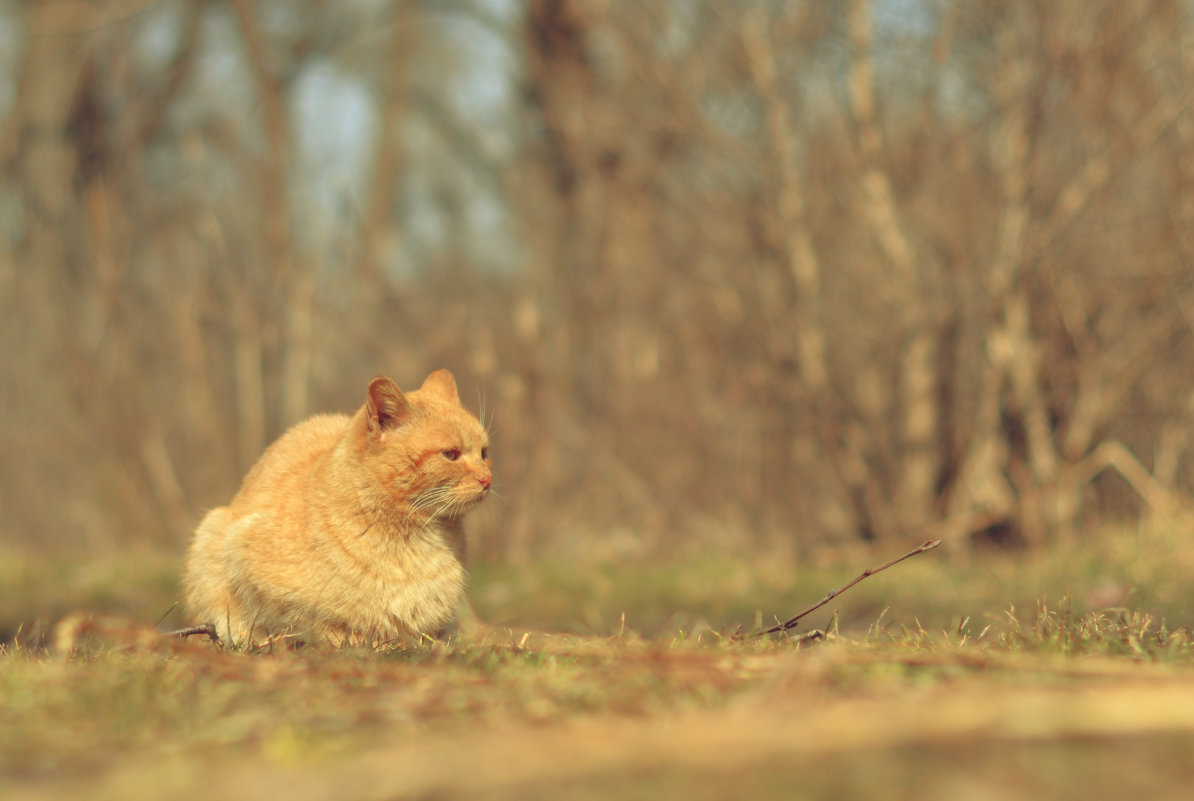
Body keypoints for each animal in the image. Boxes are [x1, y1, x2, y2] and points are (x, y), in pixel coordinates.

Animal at [182, 372, 489, 649]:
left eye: (484, 453)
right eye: (451, 455)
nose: (487, 479)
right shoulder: (245, 558)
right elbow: (316, 625)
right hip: (211, 530)